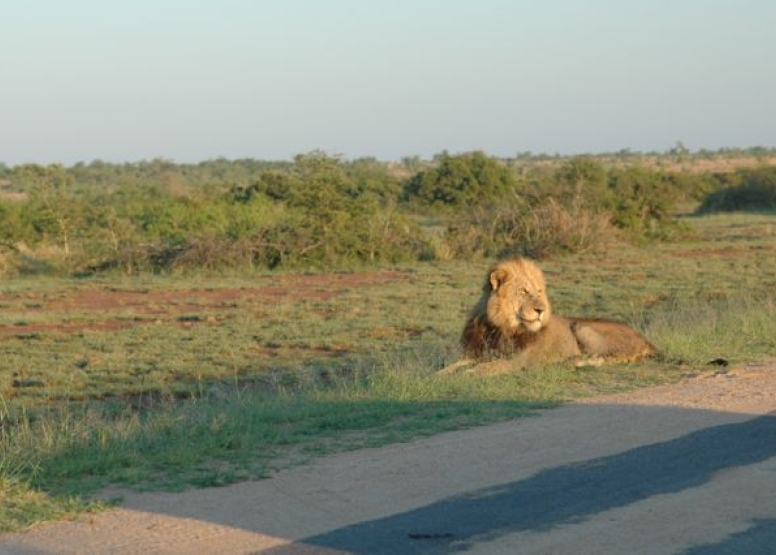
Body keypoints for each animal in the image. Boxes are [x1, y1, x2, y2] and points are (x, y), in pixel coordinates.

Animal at [436, 258, 656, 376]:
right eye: (524, 291)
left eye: (539, 291)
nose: (541, 310)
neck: (499, 327)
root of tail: (645, 340)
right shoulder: (476, 354)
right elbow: (449, 368)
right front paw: (437, 377)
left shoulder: (517, 361)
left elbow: (482, 369)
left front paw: (463, 376)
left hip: (582, 327)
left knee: (609, 359)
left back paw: (577, 360)